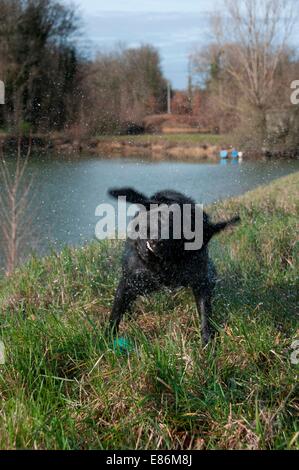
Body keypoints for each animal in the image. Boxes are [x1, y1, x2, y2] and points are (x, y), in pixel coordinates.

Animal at [107, 187, 239, 346]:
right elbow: (116, 313)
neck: (163, 265)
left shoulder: (201, 281)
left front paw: (207, 342)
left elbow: (205, 314)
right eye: (160, 218)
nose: (158, 241)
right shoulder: (129, 280)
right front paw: (106, 339)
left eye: (182, 229)